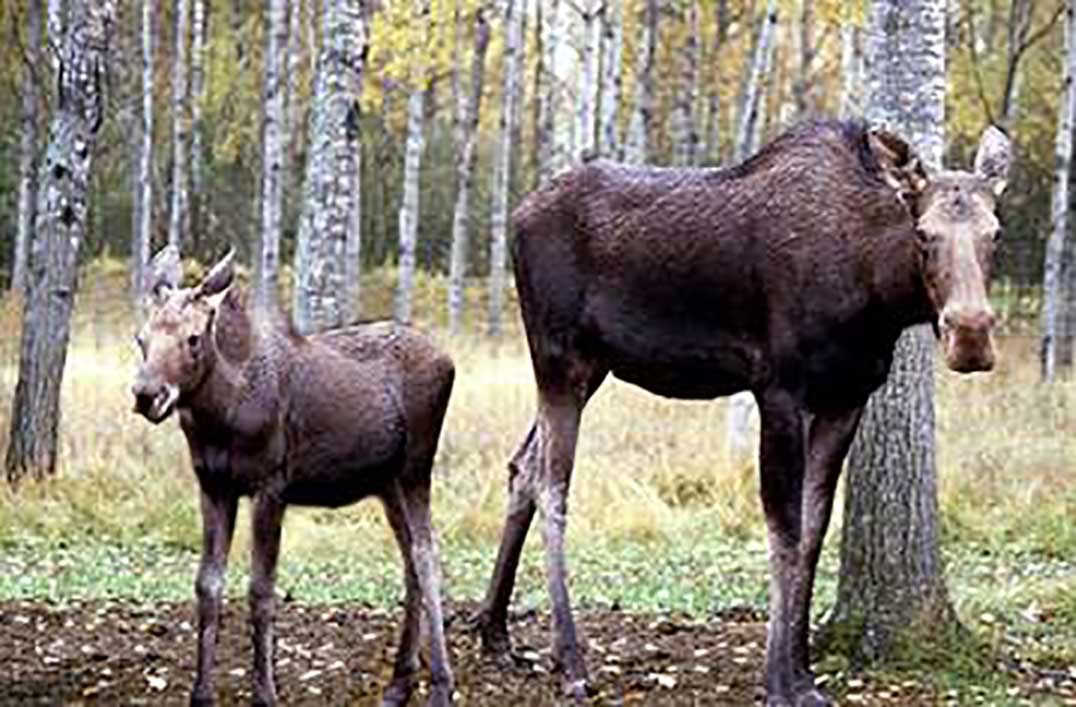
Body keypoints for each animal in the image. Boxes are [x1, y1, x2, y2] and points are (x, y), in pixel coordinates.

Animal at [132, 247, 456, 707]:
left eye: (193, 338)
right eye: (141, 338)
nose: (146, 394)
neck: (219, 416)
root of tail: (450, 360)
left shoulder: (271, 487)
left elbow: (260, 590)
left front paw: (265, 692)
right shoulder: (213, 487)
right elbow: (207, 586)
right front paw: (201, 693)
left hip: (416, 468)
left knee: (427, 556)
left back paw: (442, 684)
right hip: (387, 483)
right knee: (410, 558)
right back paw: (398, 684)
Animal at [469, 120, 1011, 706]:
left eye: (996, 234)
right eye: (923, 234)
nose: (971, 335)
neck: (875, 295)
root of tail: (517, 217)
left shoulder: (847, 398)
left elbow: (815, 531)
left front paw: (804, 675)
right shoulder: (779, 389)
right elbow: (784, 533)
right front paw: (777, 682)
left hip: (593, 367)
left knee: (522, 465)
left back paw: (494, 631)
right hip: (557, 357)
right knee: (552, 483)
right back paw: (569, 659)